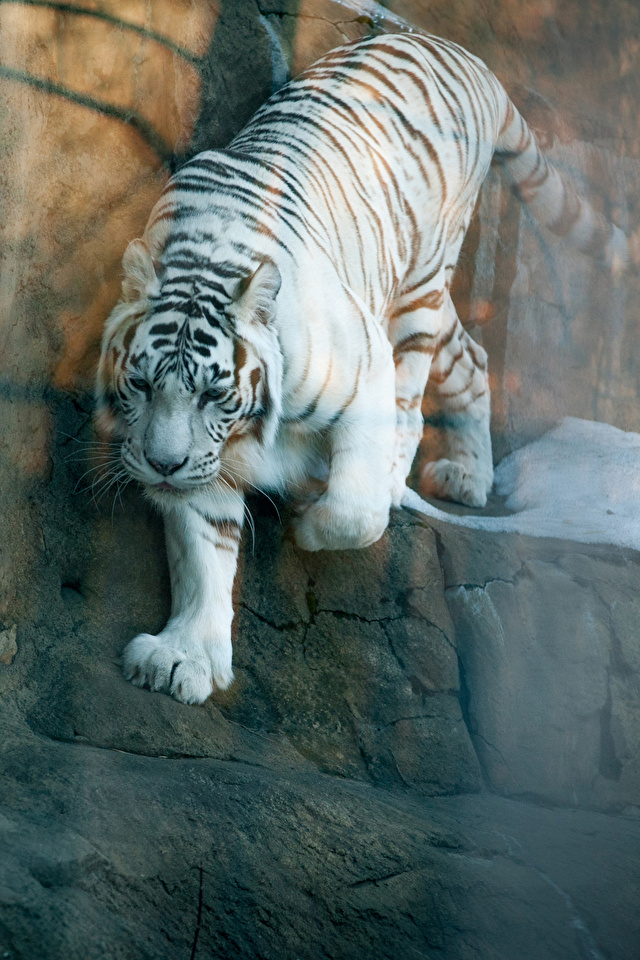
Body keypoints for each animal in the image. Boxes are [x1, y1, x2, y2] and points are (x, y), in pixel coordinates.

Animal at [96, 32, 631, 705]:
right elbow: (202, 550)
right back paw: (469, 477)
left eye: (214, 396)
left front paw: (311, 524)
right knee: (473, 358)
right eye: (141, 385)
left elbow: (352, 511)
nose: (162, 465)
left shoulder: (360, 367)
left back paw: (405, 481)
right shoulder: (205, 459)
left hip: (420, 287)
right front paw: (183, 658)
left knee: (412, 400)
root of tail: (464, 55)